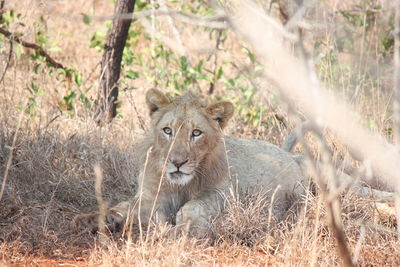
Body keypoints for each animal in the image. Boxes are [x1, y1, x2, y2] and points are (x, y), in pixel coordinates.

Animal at [74, 89, 306, 237]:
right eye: (168, 130)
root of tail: (286, 152)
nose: (177, 162)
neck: (181, 185)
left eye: (196, 133)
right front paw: (91, 220)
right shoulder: (152, 196)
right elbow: (123, 207)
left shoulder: (221, 194)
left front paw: (181, 231)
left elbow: (191, 207)